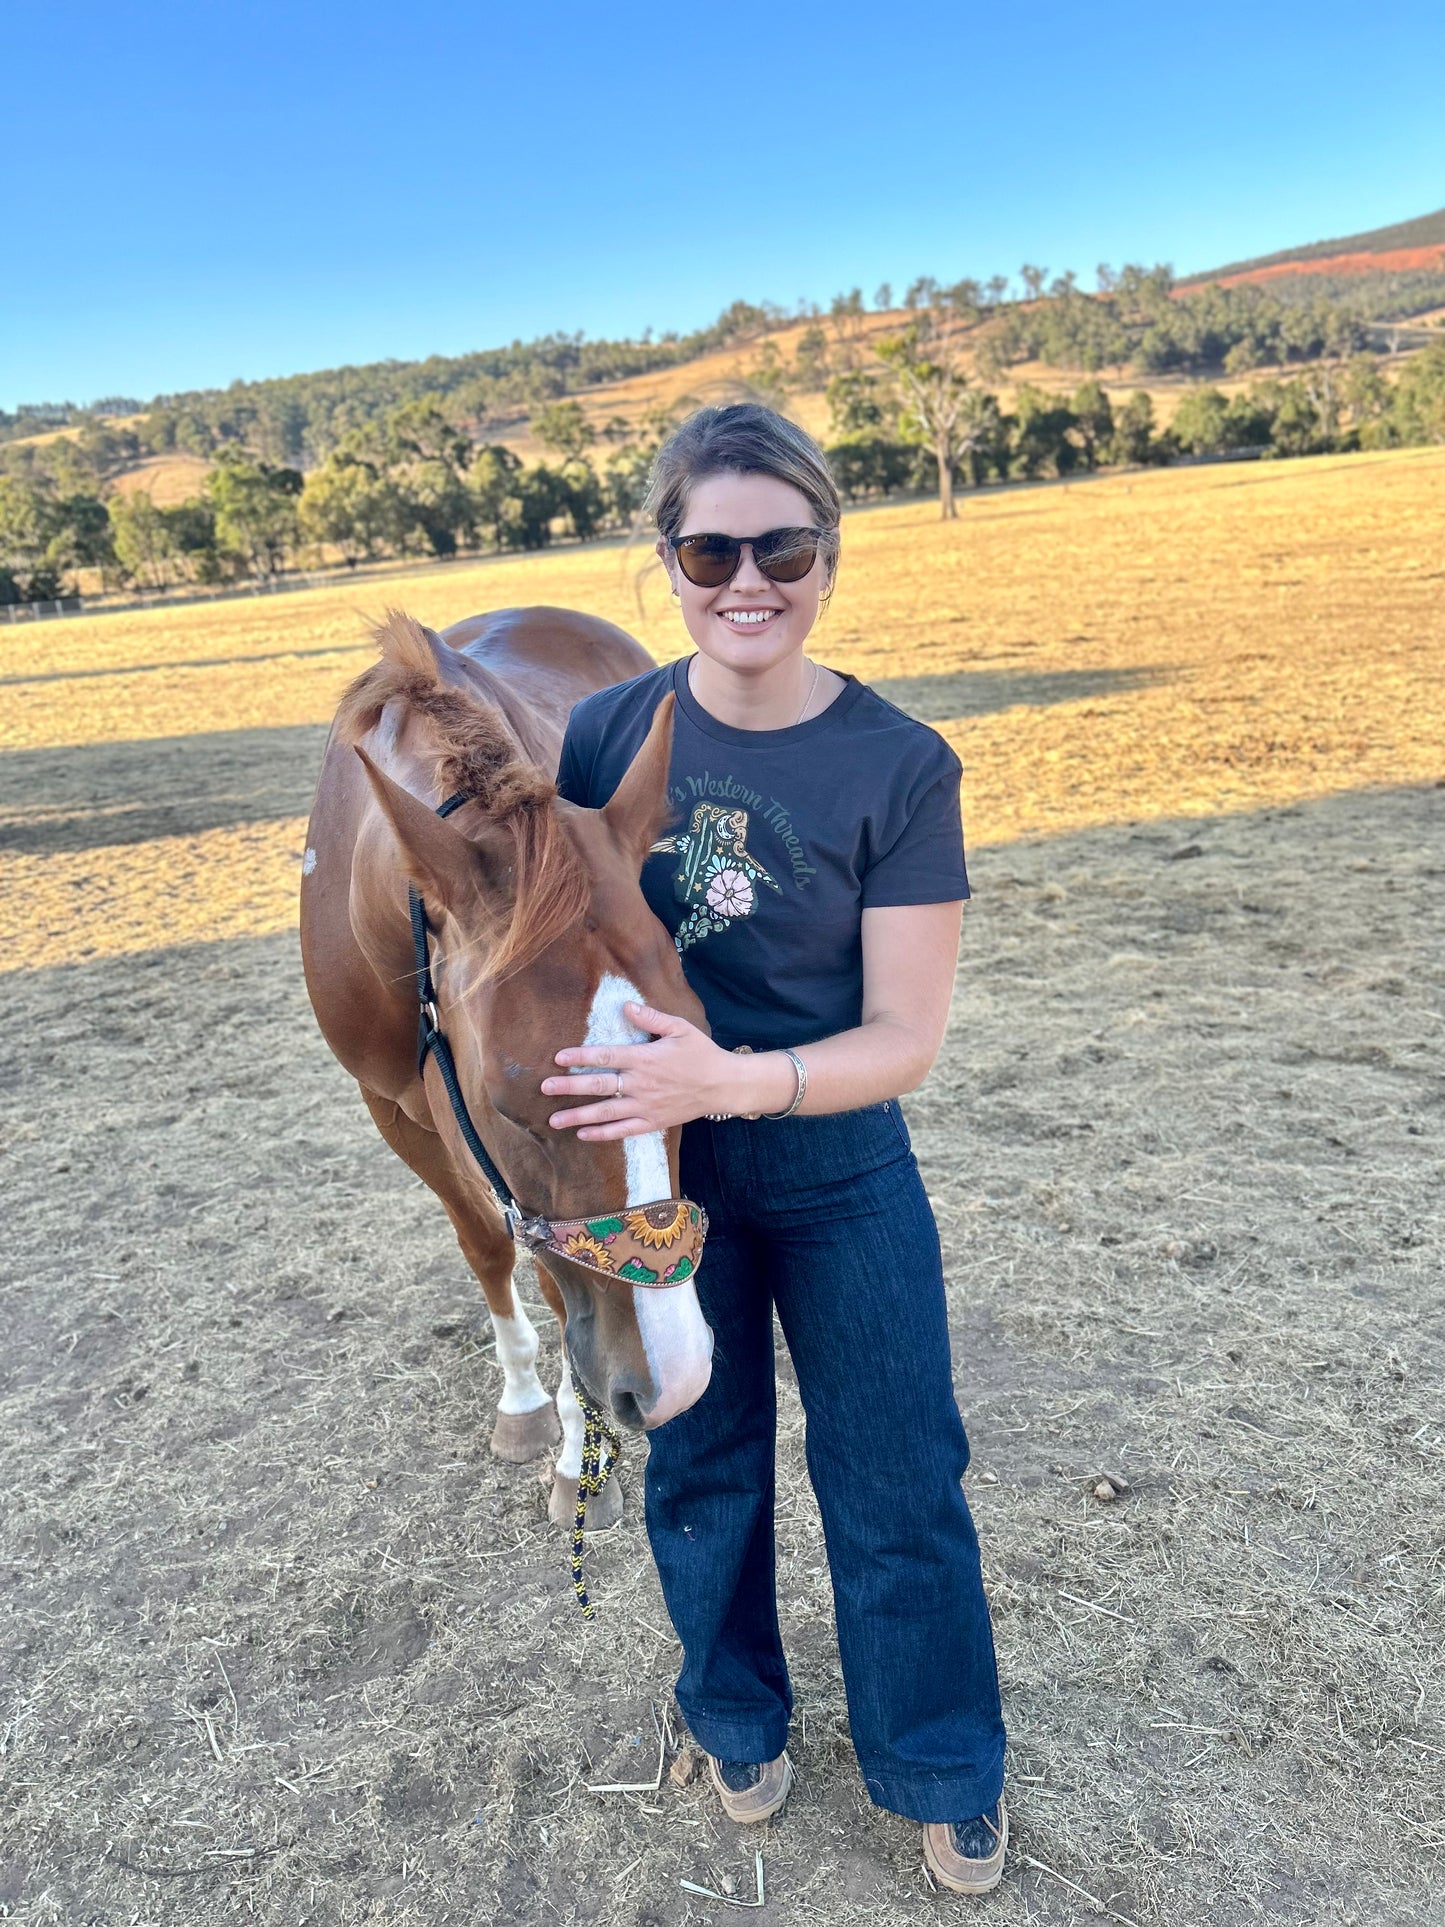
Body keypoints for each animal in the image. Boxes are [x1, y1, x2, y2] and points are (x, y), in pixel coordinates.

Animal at [300, 608, 720, 1526]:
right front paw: (527, 1407)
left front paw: (576, 1454)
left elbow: (560, 1288)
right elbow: (489, 1249)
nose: (676, 1380)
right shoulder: (396, 1109)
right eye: (509, 1105)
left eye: (695, 1042)